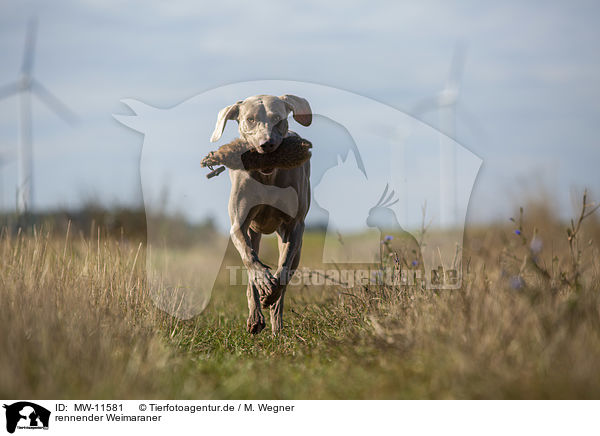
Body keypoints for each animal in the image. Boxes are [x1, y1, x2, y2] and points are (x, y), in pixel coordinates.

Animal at [210, 94, 312, 334]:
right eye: (250, 119)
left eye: (278, 119)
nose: (267, 145)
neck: (267, 177)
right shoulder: (238, 224)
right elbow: (249, 257)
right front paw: (263, 278)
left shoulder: (294, 226)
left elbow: (283, 267)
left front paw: (272, 292)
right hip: (252, 232)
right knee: (250, 272)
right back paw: (255, 316)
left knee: (286, 279)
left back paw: (276, 324)